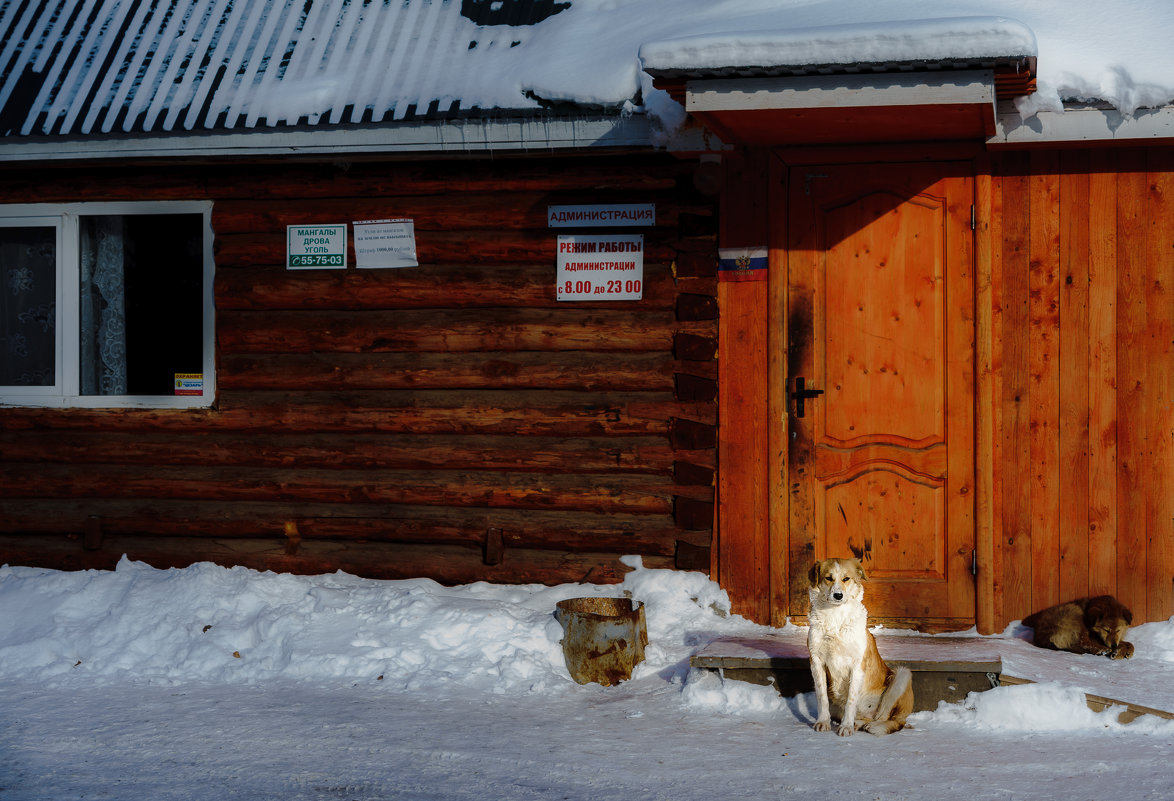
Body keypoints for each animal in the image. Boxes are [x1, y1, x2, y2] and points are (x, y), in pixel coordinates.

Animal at [807, 554, 915, 737]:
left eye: (846, 579)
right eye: (828, 578)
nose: (838, 595)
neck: (836, 616)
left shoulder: (857, 665)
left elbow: (851, 700)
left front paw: (846, 726)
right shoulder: (816, 662)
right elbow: (822, 697)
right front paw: (823, 722)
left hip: (902, 675)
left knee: (883, 717)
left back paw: (868, 726)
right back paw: (858, 723)